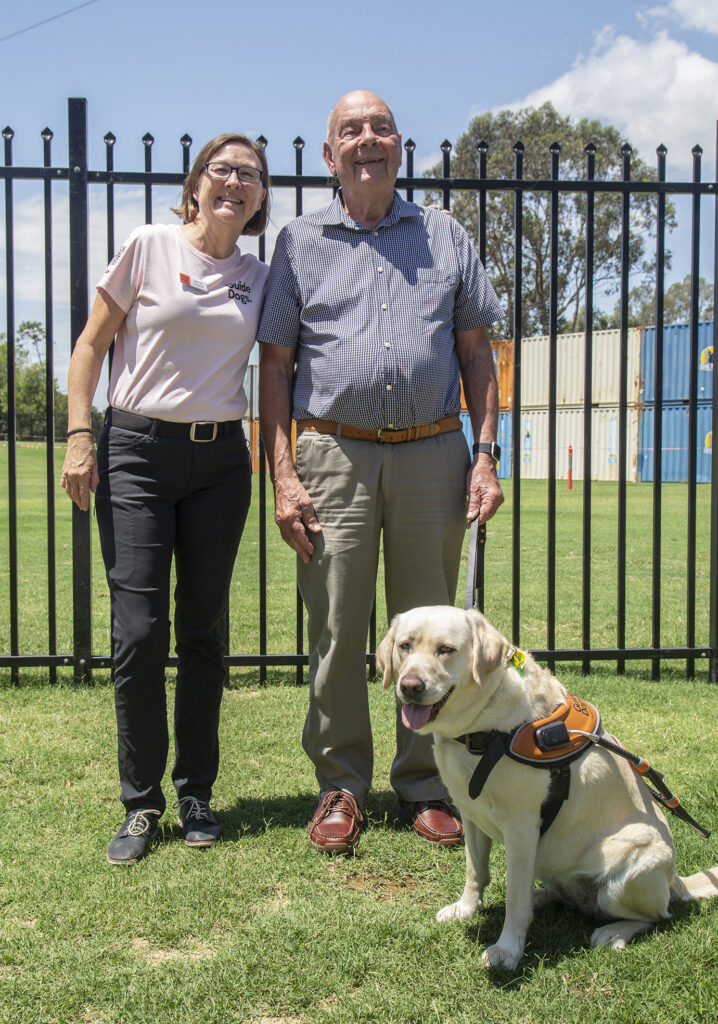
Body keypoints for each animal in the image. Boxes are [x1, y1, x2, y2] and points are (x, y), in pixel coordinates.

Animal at [374, 602, 716, 970]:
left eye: (446, 649)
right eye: (405, 646)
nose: (410, 686)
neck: (481, 726)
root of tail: (675, 881)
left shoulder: (522, 825)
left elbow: (514, 896)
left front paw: (508, 949)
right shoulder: (470, 812)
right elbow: (475, 871)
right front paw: (467, 908)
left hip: (628, 870)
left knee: (655, 916)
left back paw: (613, 932)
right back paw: (542, 897)